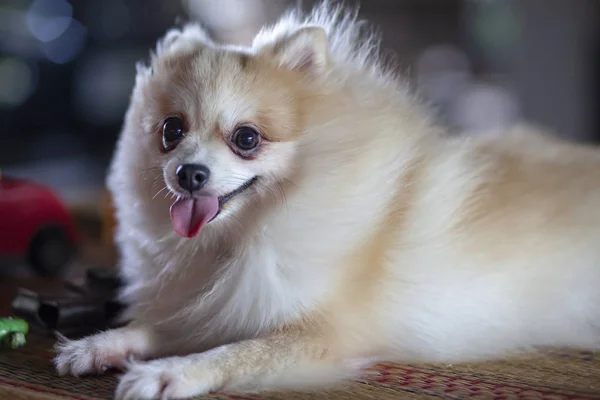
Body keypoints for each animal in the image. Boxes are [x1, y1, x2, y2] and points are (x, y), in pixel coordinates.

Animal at [52, 1, 600, 398]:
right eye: (171, 130)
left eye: (246, 139)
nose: (189, 174)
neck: (245, 233)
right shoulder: (220, 305)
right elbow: (161, 325)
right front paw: (100, 345)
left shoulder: (323, 334)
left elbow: (234, 355)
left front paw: (167, 373)